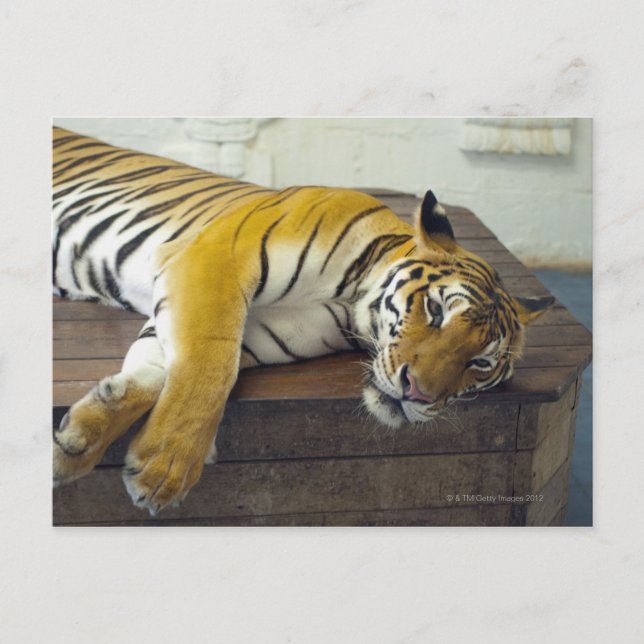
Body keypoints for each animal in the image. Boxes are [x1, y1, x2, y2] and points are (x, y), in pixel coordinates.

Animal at [52, 126, 553, 515]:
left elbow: (162, 370)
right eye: (435, 309)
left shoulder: (260, 330)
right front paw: (163, 471)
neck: (353, 301)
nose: (418, 393)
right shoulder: (214, 259)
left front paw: (77, 442)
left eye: (480, 363)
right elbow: (209, 368)